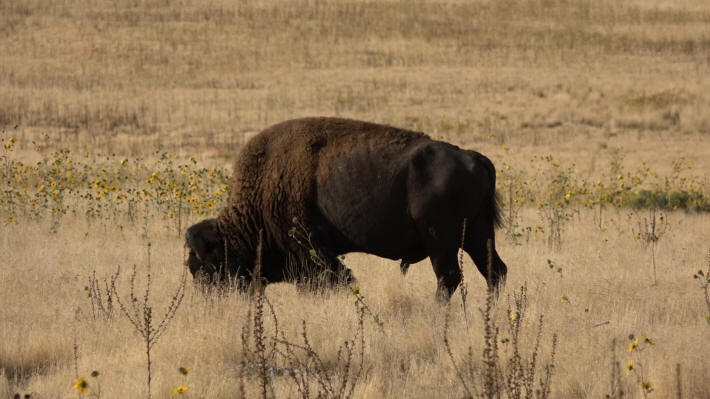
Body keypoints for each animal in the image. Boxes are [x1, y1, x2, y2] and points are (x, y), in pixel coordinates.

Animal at [185, 117, 506, 302]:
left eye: (208, 267)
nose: (211, 302)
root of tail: (475, 158)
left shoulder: (311, 250)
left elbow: (332, 279)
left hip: (441, 240)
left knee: (449, 277)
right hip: (476, 234)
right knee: (494, 270)